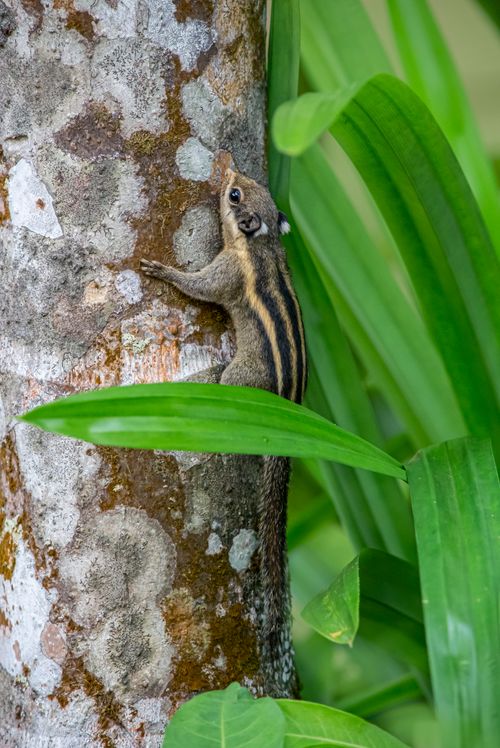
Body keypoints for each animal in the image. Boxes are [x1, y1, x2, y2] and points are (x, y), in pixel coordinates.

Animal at [141, 167, 307, 648]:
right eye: (245, 186)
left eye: (234, 195)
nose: (230, 170)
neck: (260, 245)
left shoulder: (227, 272)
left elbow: (199, 286)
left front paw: (164, 272)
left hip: (243, 379)